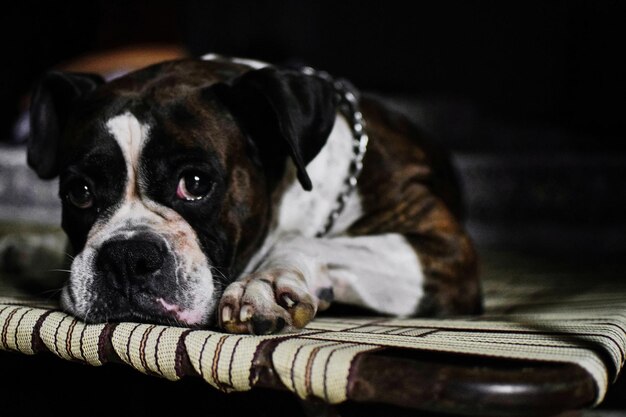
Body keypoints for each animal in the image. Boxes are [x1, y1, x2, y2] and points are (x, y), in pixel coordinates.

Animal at [20, 53, 478, 334]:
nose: (127, 256)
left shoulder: (442, 249)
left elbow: (300, 241)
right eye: (79, 192)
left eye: (195, 184)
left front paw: (265, 283)